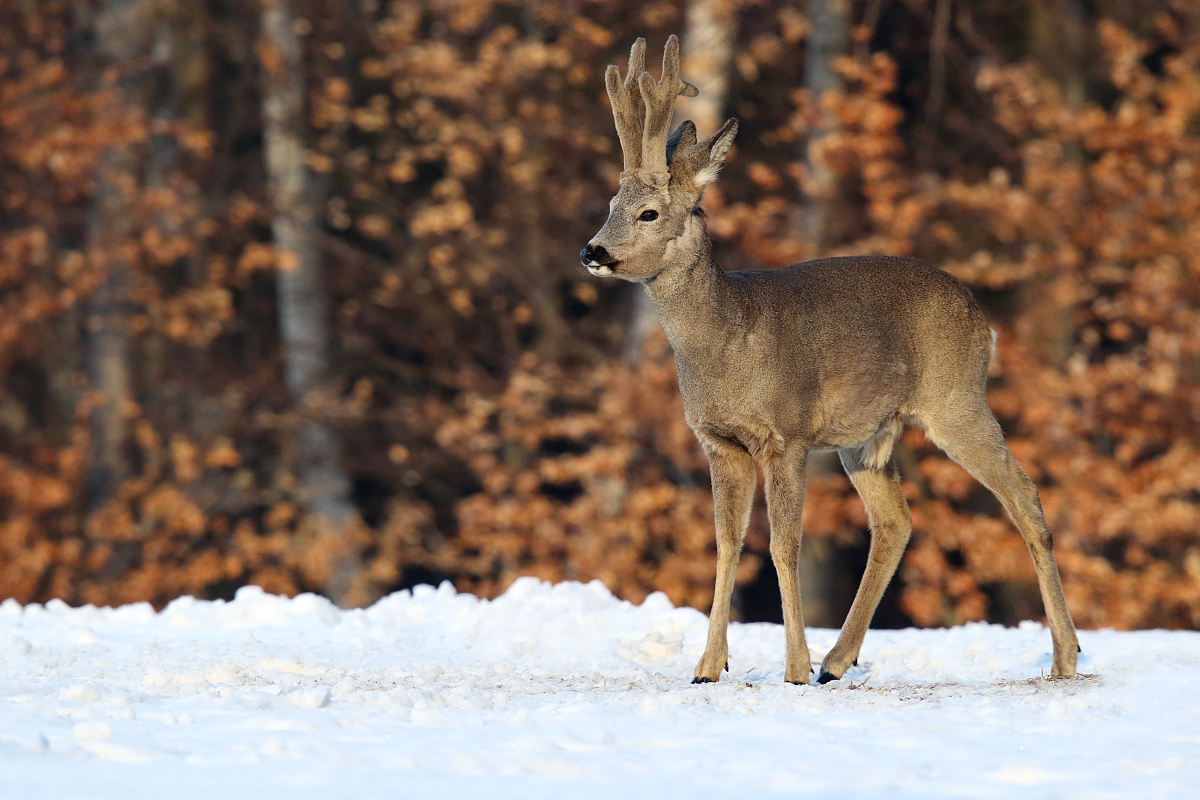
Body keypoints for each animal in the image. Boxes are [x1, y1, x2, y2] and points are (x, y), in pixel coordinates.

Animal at [578, 37, 1080, 686]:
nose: (592, 251)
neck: (728, 341)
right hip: (865, 437)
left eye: (649, 214)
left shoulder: (787, 434)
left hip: (956, 399)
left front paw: (792, 667)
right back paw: (838, 662)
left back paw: (1065, 657)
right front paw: (708, 666)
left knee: (1024, 493)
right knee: (895, 521)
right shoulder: (719, 441)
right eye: (613, 202)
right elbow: (727, 544)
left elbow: (781, 546)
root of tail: (984, 320)